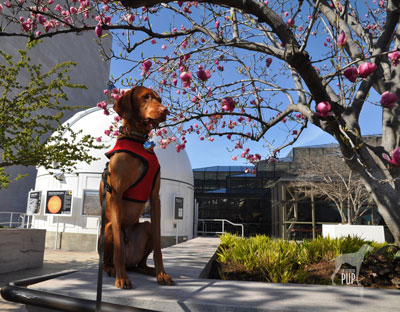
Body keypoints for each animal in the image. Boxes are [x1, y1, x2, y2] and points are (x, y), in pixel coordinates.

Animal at [99, 86, 173, 288]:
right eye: (145, 97)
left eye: (159, 99)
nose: (165, 110)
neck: (139, 140)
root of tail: (130, 262)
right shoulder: (116, 194)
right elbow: (118, 248)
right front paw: (122, 278)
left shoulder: (155, 198)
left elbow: (159, 245)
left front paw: (162, 274)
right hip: (107, 228)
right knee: (107, 259)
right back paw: (113, 270)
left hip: (145, 227)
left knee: (140, 261)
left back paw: (147, 269)